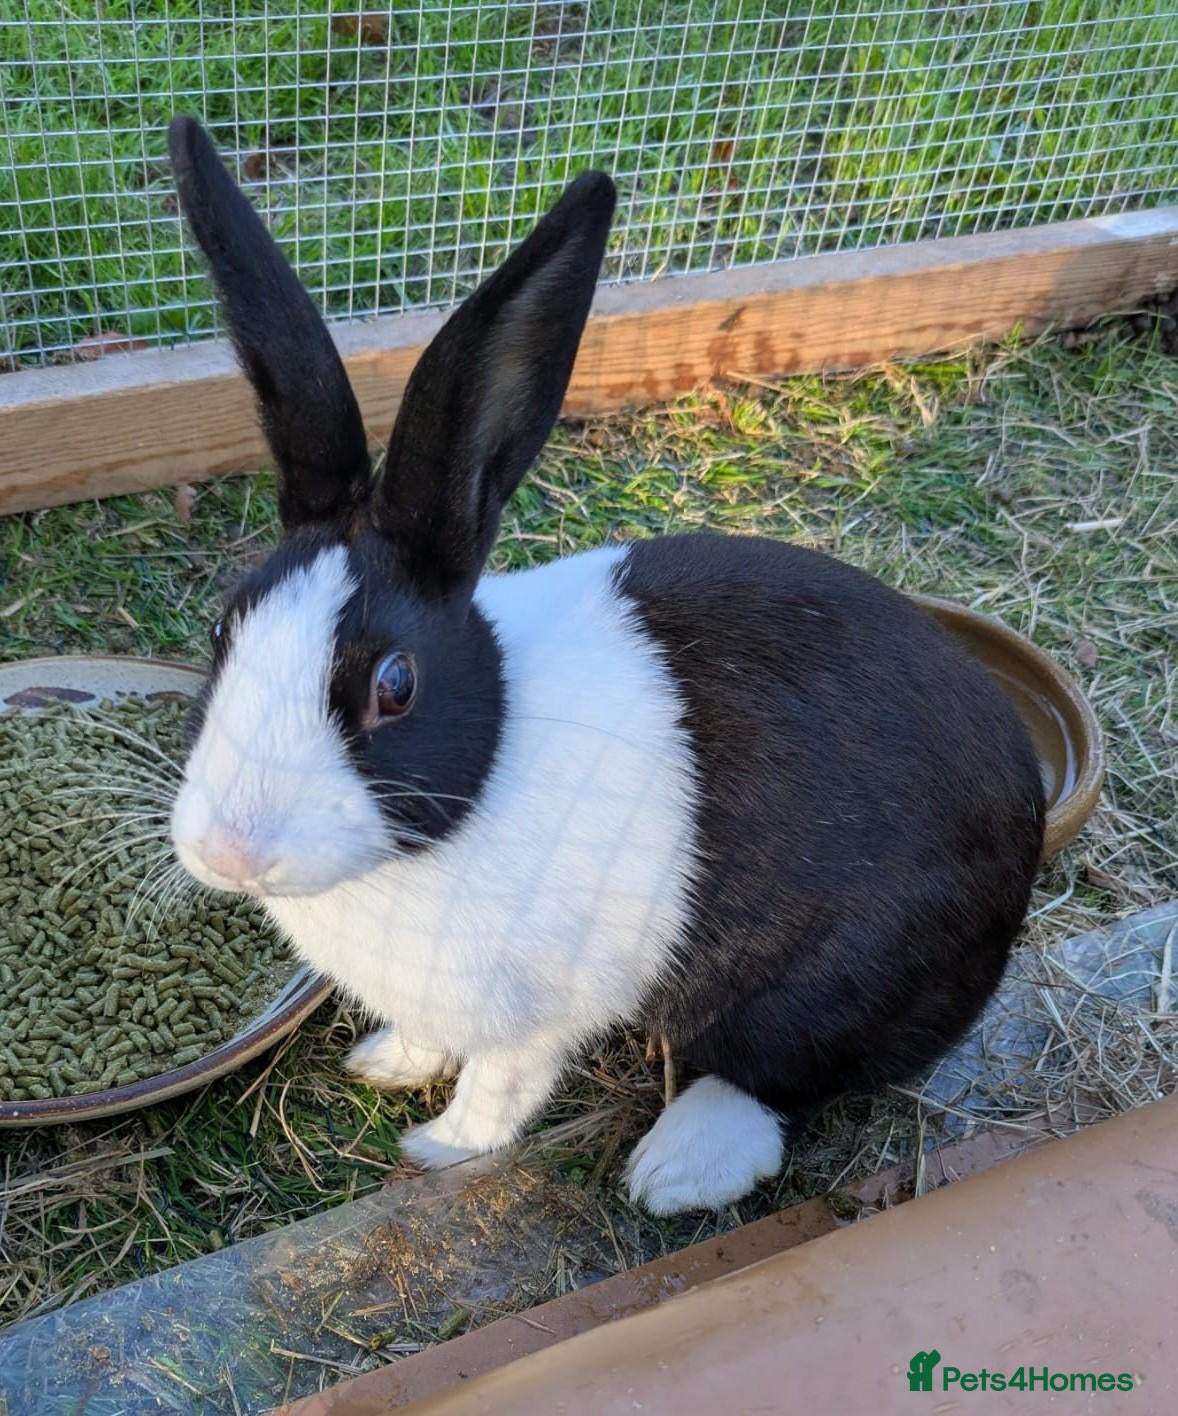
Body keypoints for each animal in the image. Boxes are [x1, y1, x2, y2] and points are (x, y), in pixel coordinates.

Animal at [167, 114, 1045, 1215]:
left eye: (394, 686)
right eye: (222, 632)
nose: (231, 852)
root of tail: (1025, 818)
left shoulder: (531, 1014)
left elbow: (500, 1087)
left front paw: (441, 1149)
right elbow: (428, 1037)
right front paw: (385, 1062)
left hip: (831, 986)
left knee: (782, 1080)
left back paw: (674, 1170)